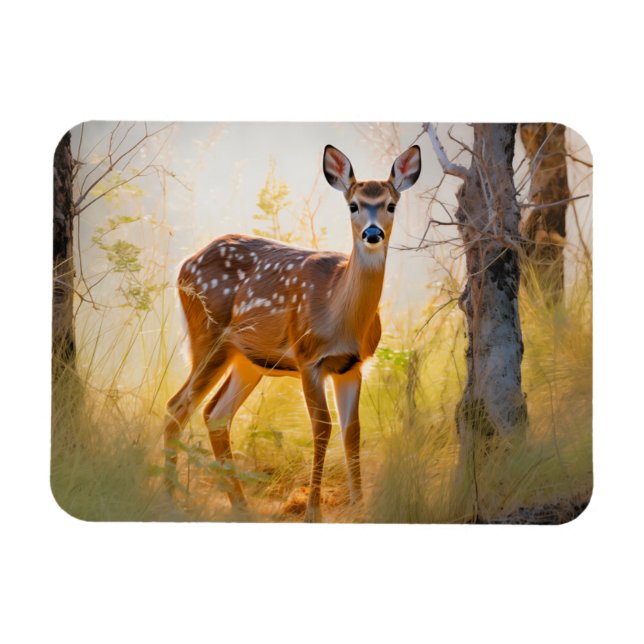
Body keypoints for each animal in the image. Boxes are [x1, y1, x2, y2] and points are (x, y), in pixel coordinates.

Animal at [163, 144, 421, 521]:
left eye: (391, 205)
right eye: (353, 205)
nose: (373, 234)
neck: (340, 315)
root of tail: (184, 264)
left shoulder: (353, 365)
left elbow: (352, 431)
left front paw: (360, 506)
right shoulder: (308, 358)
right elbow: (322, 428)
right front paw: (313, 511)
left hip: (248, 359)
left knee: (215, 414)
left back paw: (240, 506)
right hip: (208, 337)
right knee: (177, 407)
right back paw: (170, 497)